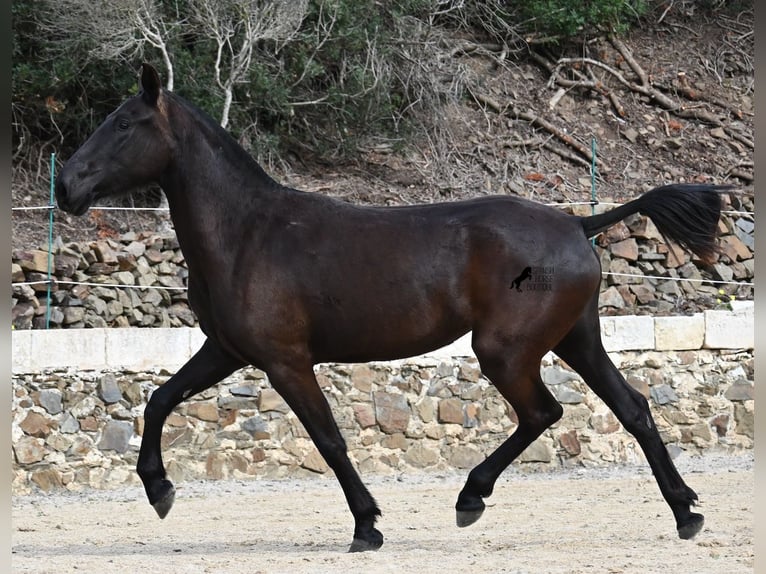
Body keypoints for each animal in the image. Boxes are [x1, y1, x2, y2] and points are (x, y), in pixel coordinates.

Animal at [55, 63, 732, 552]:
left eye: (123, 124)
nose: (67, 186)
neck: (247, 234)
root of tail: (577, 224)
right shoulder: (226, 351)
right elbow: (158, 399)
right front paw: (159, 490)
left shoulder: (285, 362)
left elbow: (329, 440)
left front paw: (367, 527)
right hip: (577, 339)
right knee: (633, 410)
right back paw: (686, 513)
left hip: (506, 351)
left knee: (543, 412)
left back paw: (470, 499)